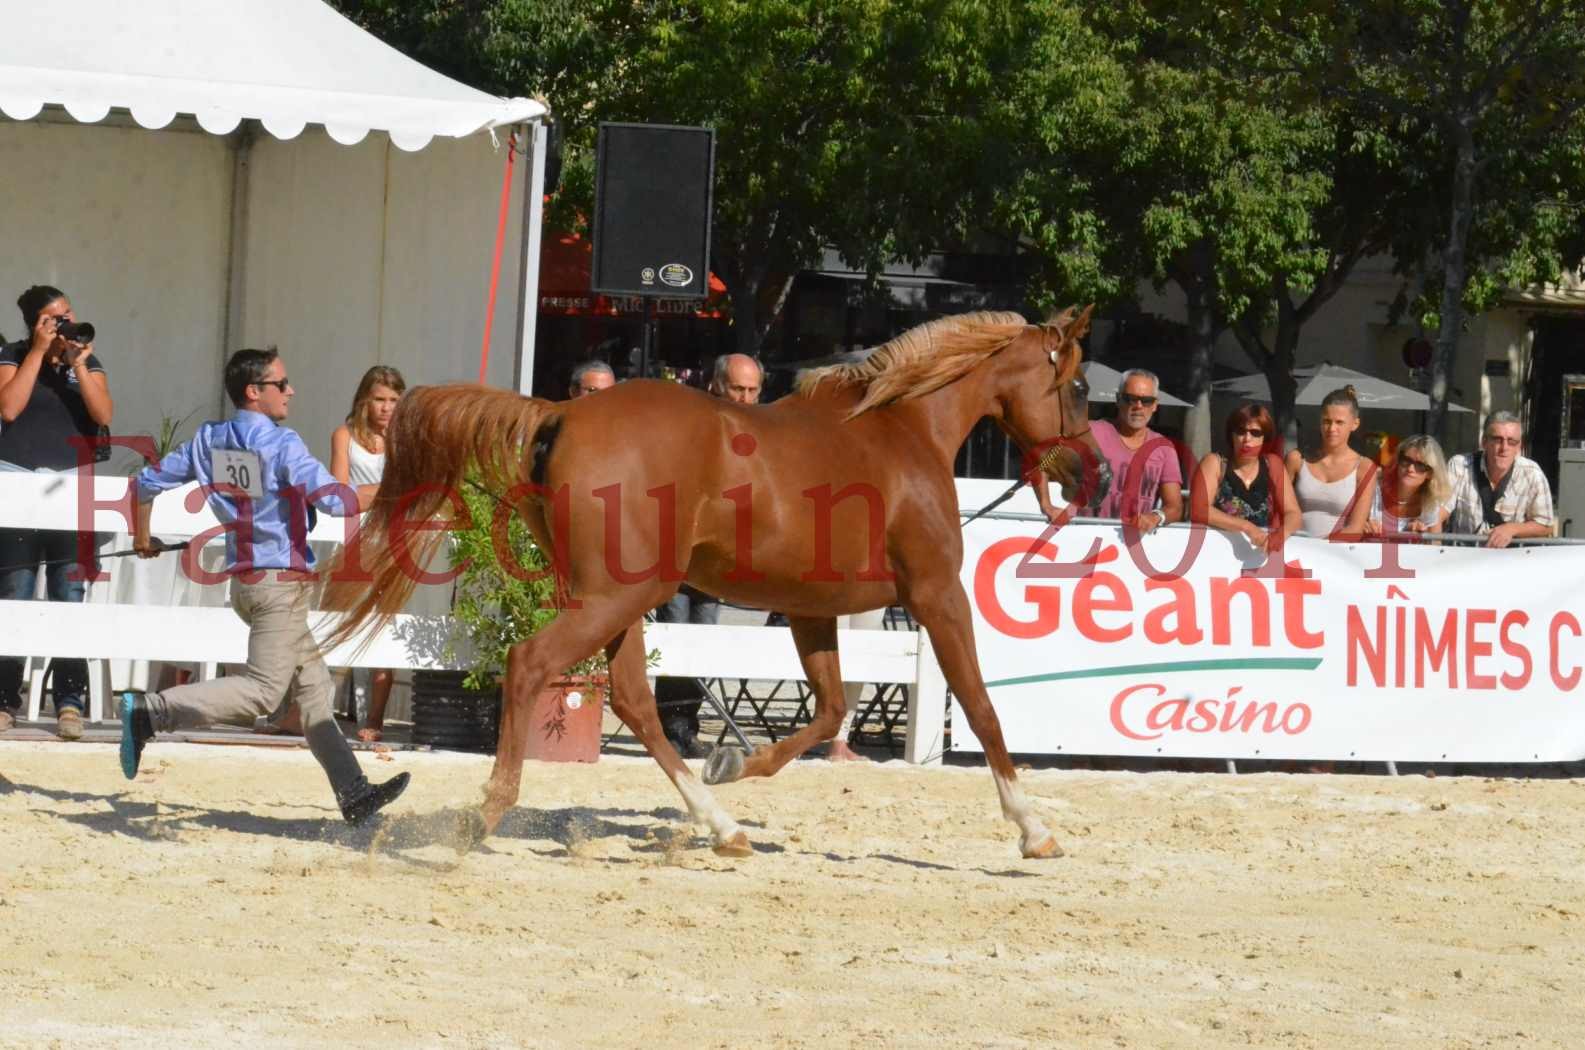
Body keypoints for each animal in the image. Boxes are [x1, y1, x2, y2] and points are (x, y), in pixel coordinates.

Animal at [321, 306, 1090, 862]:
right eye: (1078, 387)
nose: (1091, 472)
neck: (903, 431)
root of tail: (559, 412)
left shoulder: (811, 610)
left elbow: (829, 711)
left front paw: (731, 761)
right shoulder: (936, 595)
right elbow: (981, 708)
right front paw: (1033, 829)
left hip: (618, 599)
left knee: (633, 699)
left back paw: (721, 824)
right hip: (617, 598)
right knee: (532, 663)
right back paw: (485, 814)